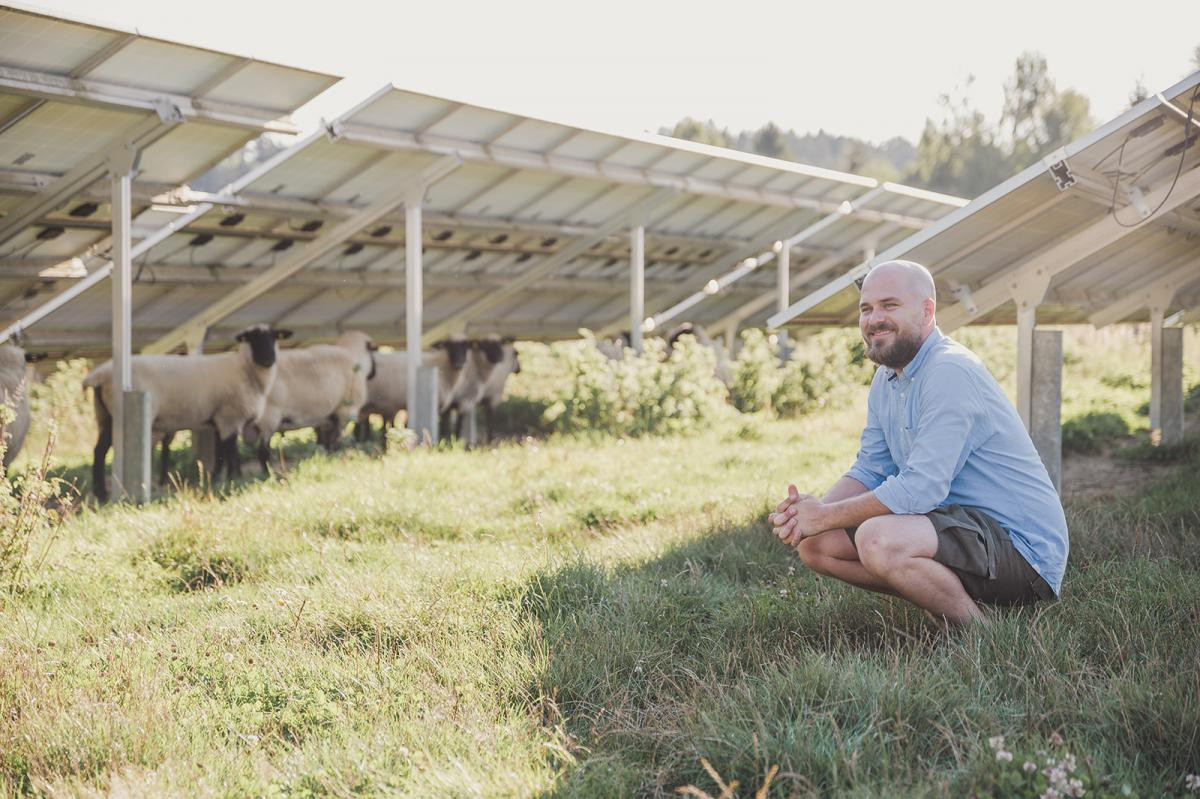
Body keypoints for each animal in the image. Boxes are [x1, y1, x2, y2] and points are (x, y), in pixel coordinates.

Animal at [85, 321, 290, 499]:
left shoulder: (220, 419)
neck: (245, 368)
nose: (269, 359)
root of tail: (99, 375)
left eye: (274, 337)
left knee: (98, 450)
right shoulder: (230, 416)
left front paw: (216, 479)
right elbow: (231, 451)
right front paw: (234, 478)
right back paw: (103, 493)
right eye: (252, 338)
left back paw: (99, 493)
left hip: (103, 415)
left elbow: (221, 452)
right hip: (117, 415)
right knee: (102, 451)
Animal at [243, 328, 374, 470]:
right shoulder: (345, 411)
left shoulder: (327, 418)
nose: (373, 374)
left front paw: (327, 458)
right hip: (269, 416)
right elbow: (336, 441)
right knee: (262, 451)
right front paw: (335, 458)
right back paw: (266, 472)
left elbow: (326, 442)